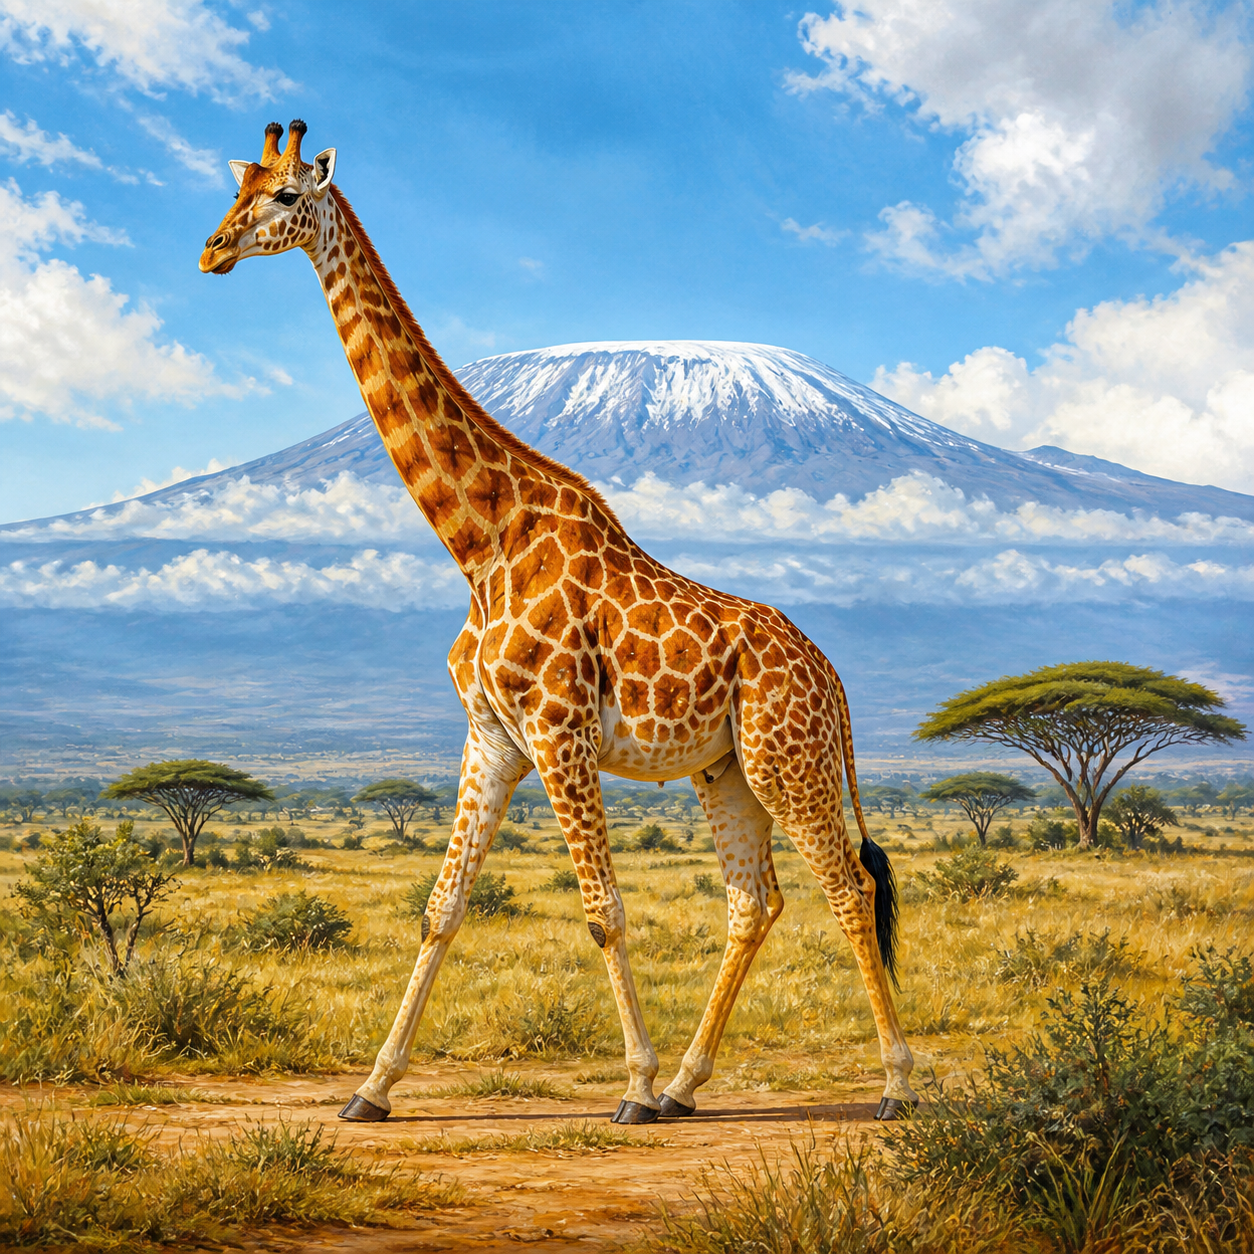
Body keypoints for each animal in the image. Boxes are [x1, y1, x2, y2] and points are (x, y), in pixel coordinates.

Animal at [199, 121, 918, 1124]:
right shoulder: (492, 735)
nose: (212, 252)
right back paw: (691, 1086)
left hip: (790, 758)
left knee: (848, 889)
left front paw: (633, 1085)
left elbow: (603, 912)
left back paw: (892, 1083)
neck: (480, 540)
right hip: (728, 770)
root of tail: (834, 677)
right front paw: (371, 1089)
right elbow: (442, 907)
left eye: (286, 198)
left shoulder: (558, 730)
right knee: (755, 901)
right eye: (237, 189)